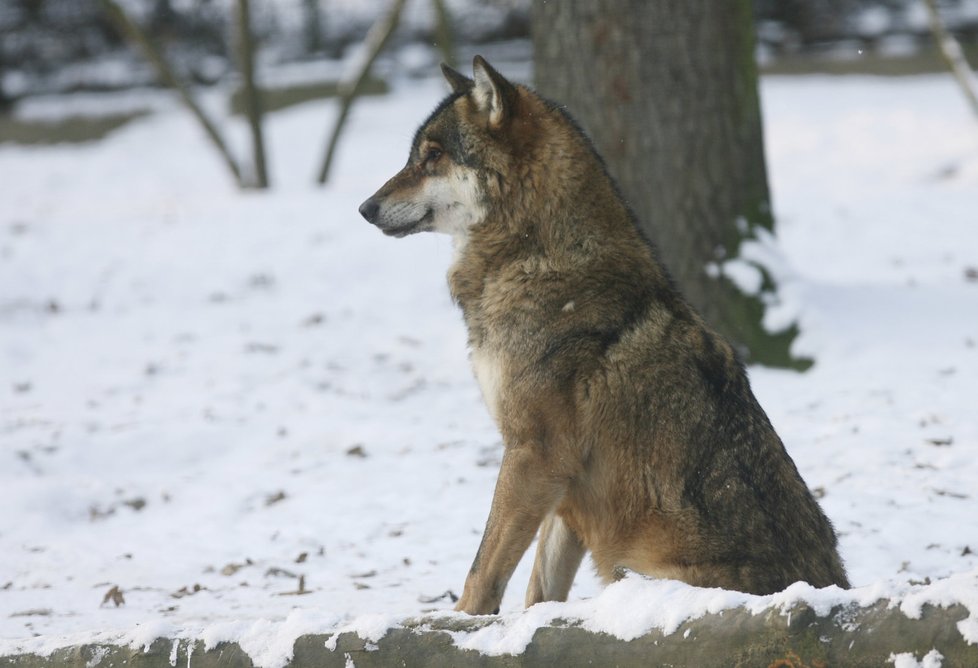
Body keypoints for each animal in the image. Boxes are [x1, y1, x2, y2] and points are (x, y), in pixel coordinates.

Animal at [358, 57, 848, 616]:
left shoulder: (534, 456)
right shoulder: (564, 487)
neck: (539, 261)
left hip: (637, 571)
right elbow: (541, 591)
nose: (365, 207)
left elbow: (482, 573)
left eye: (433, 156)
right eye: (415, 155)